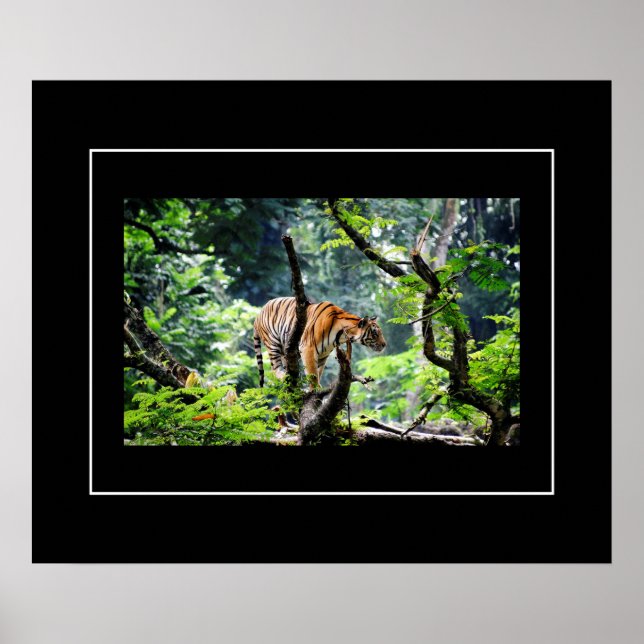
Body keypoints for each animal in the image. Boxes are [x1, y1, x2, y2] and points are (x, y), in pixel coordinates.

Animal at [253, 296, 387, 388]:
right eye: (375, 333)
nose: (384, 344)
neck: (342, 335)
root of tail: (258, 314)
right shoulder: (308, 348)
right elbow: (312, 373)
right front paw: (315, 389)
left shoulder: (323, 354)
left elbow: (318, 372)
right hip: (273, 343)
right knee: (274, 369)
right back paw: (284, 377)